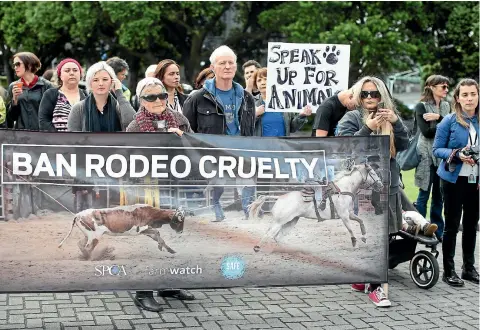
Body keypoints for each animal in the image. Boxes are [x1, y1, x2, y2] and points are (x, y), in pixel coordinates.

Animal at [249, 161, 384, 251]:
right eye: (373, 173)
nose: (381, 185)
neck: (343, 189)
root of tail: (280, 197)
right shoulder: (344, 216)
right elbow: (350, 229)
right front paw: (354, 243)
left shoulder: (349, 214)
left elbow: (361, 221)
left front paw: (364, 238)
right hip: (280, 221)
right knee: (269, 234)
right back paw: (257, 247)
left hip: (291, 221)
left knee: (278, 237)